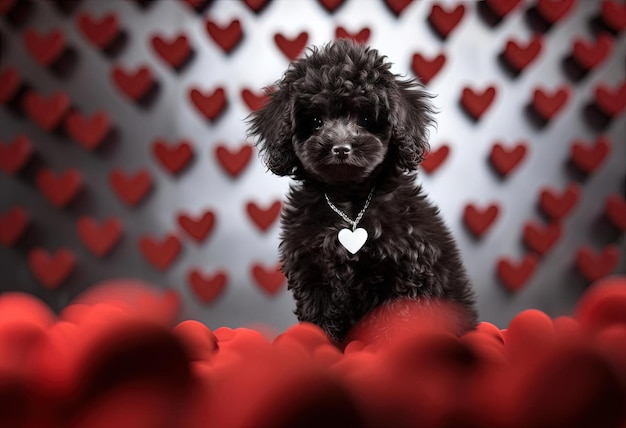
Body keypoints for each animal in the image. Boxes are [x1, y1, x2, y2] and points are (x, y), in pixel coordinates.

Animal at [246, 38, 476, 342]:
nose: (341, 148)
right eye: (317, 122)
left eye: (366, 120)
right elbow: (319, 318)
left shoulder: (406, 269)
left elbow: (394, 320)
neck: (348, 202)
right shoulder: (312, 271)